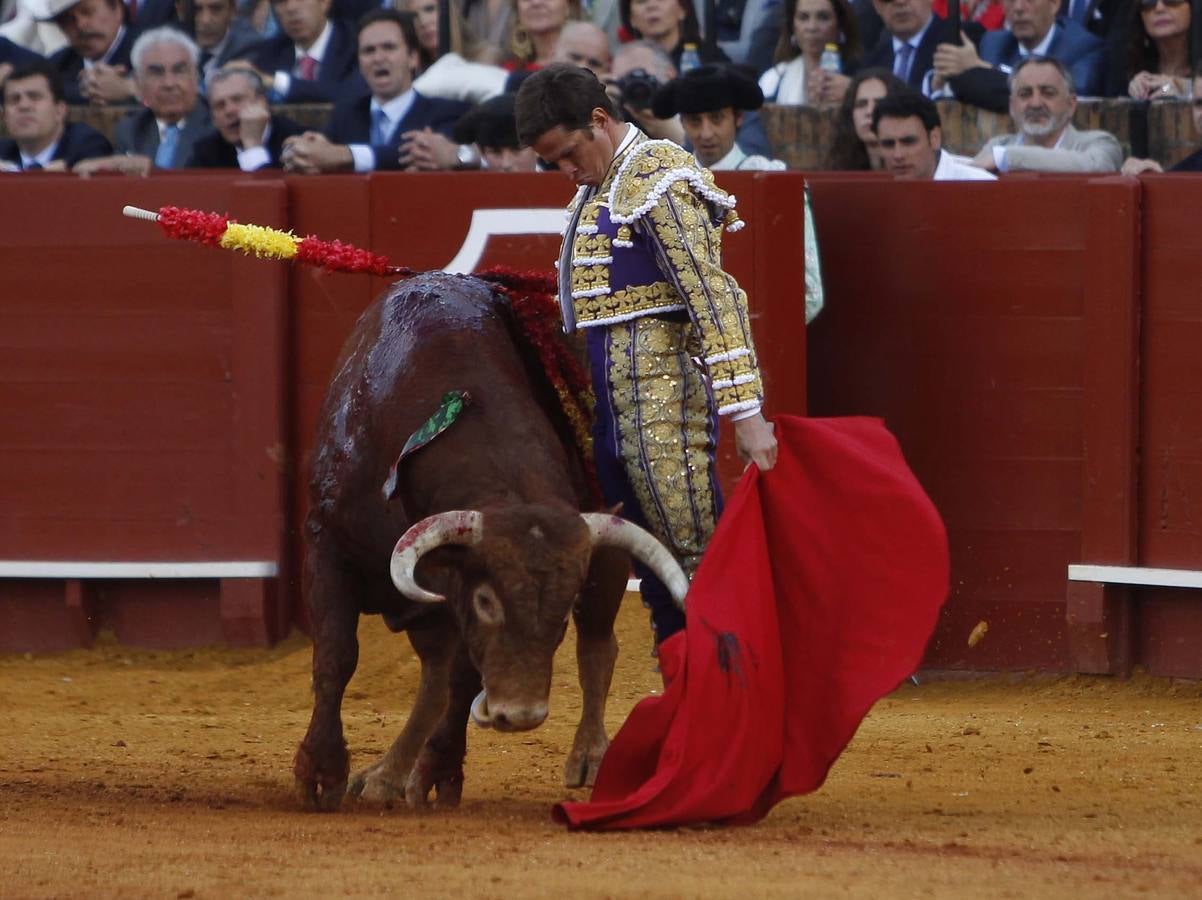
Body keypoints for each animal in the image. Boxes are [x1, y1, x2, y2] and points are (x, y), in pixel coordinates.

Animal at [292, 270, 687, 812]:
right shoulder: (328, 545)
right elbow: (336, 655)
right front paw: (322, 773)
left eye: (560, 608)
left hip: (607, 558)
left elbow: (463, 676)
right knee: (433, 677)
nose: (519, 714)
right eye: (486, 600)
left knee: (597, 647)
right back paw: (388, 775)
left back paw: (590, 757)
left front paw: (439, 772)